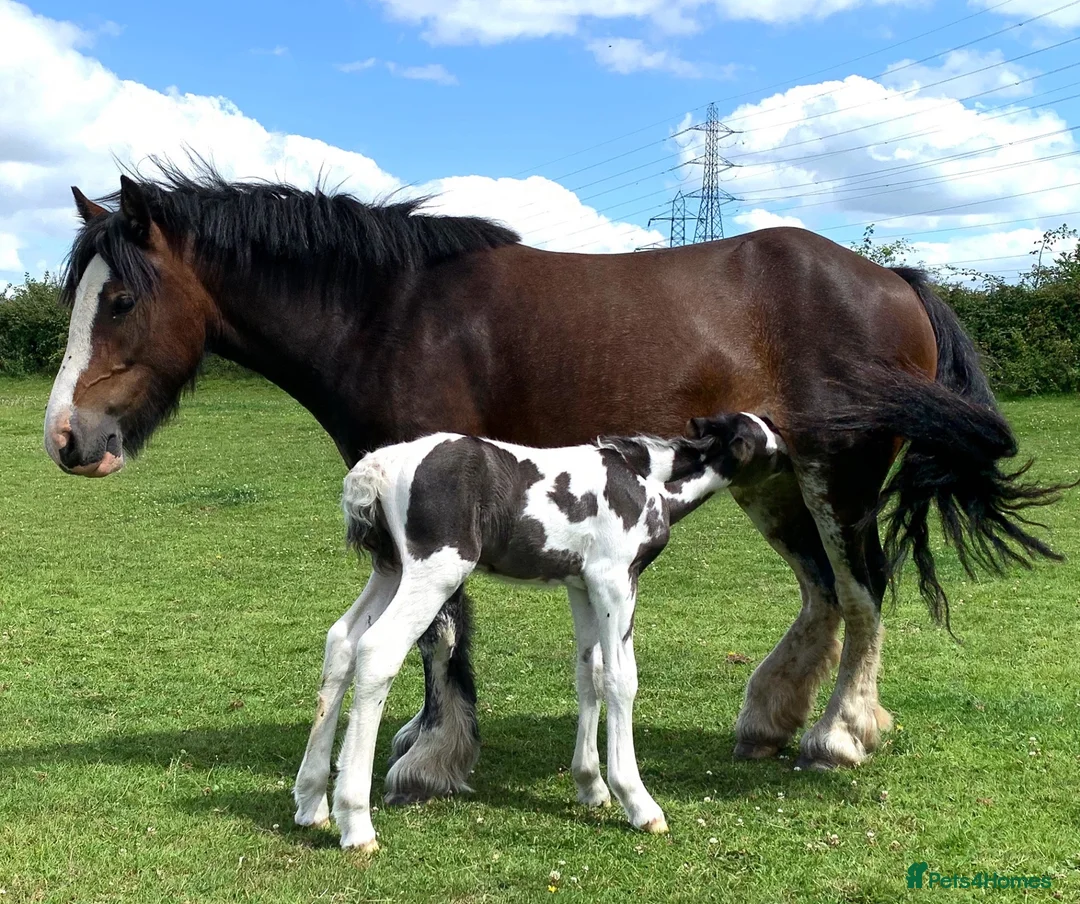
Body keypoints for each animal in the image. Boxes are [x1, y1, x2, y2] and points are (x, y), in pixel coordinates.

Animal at [305, 412, 787, 850]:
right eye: (766, 443)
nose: (793, 461)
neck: (645, 479)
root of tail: (377, 467)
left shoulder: (582, 586)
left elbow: (590, 673)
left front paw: (590, 785)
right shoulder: (615, 580)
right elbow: (621, 679)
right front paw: (638, 802)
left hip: (390, 570)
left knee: (342, 642)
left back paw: (312, 804)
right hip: (435, 571)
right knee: (377, 650)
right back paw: (356, 824)